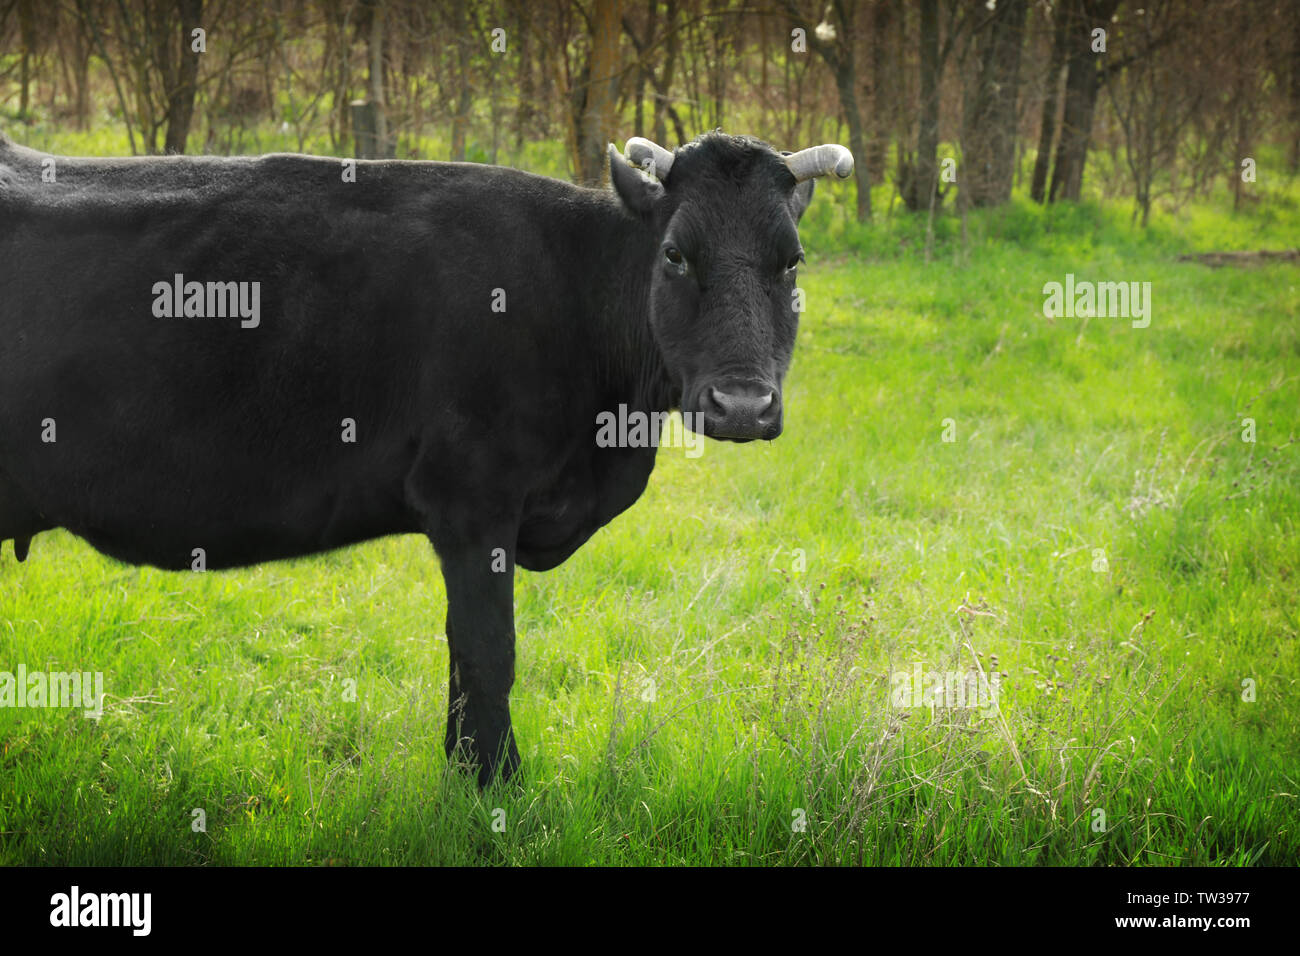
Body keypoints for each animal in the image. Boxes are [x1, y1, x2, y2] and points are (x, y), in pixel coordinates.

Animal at [0, 129, 852, 786]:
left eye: (792, 261)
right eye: (675, 254)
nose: (742, 404)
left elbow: (461, 655)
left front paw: (464, 774)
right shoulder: (473, 500)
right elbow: (488, 649)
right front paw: (496, 786)